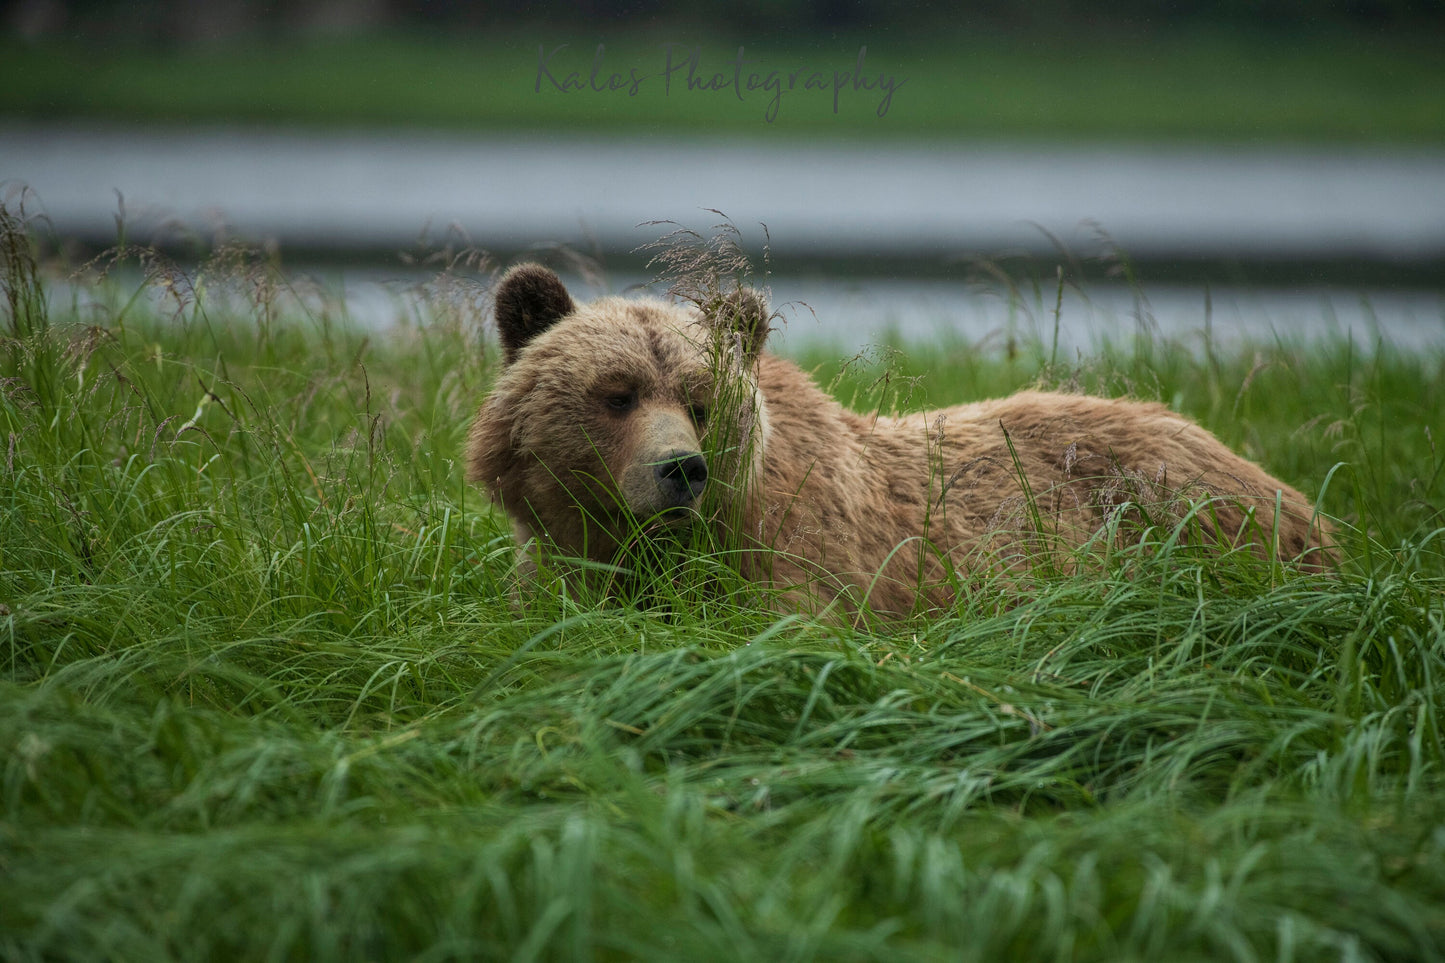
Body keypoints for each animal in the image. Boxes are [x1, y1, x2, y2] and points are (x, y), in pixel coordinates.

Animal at [468, 260, 1323, 615]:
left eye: (701, 401)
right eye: (616, 394)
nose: (682, 470)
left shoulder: (796, 565)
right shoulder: (560, 564)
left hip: (1194, 521)